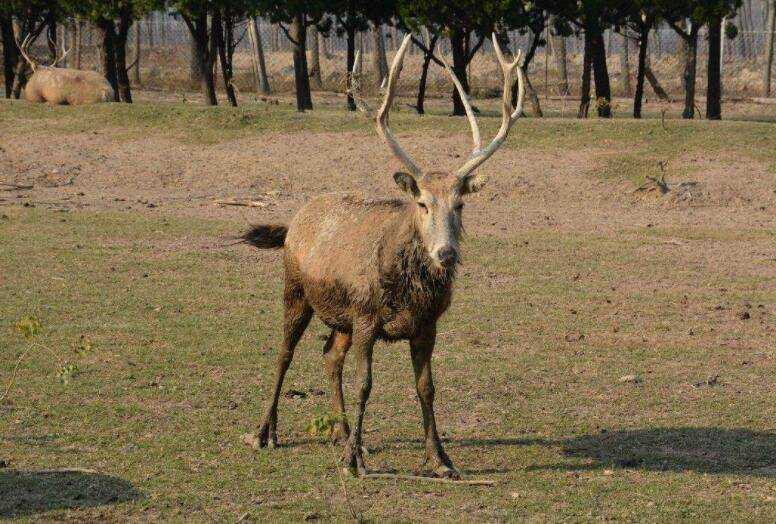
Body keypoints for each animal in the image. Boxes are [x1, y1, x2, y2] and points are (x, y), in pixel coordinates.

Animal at [241, 33, 520, 478]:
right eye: (422, 203)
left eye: (459, 204)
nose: (445, 252)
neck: (405, 290)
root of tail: (293, 222)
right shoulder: (367, 317)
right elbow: (366, 384)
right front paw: (353, 462)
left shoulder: (427, 325)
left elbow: (427, 387)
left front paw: (440, 459)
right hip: (296, 290)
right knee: (284, 353)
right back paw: (267, 432)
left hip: (340, 316)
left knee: (329, 356)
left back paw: (342, 435)